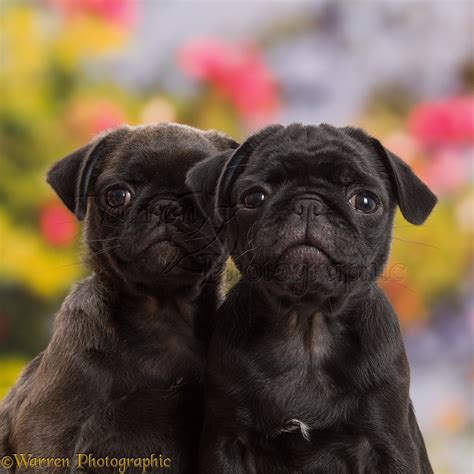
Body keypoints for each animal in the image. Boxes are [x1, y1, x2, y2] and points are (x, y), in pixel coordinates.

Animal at [186, 124, 436, 472]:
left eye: (366, 201)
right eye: (254, 197)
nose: (308, 204)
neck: (307, 327)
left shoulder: (388, 444)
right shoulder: (227, 443)